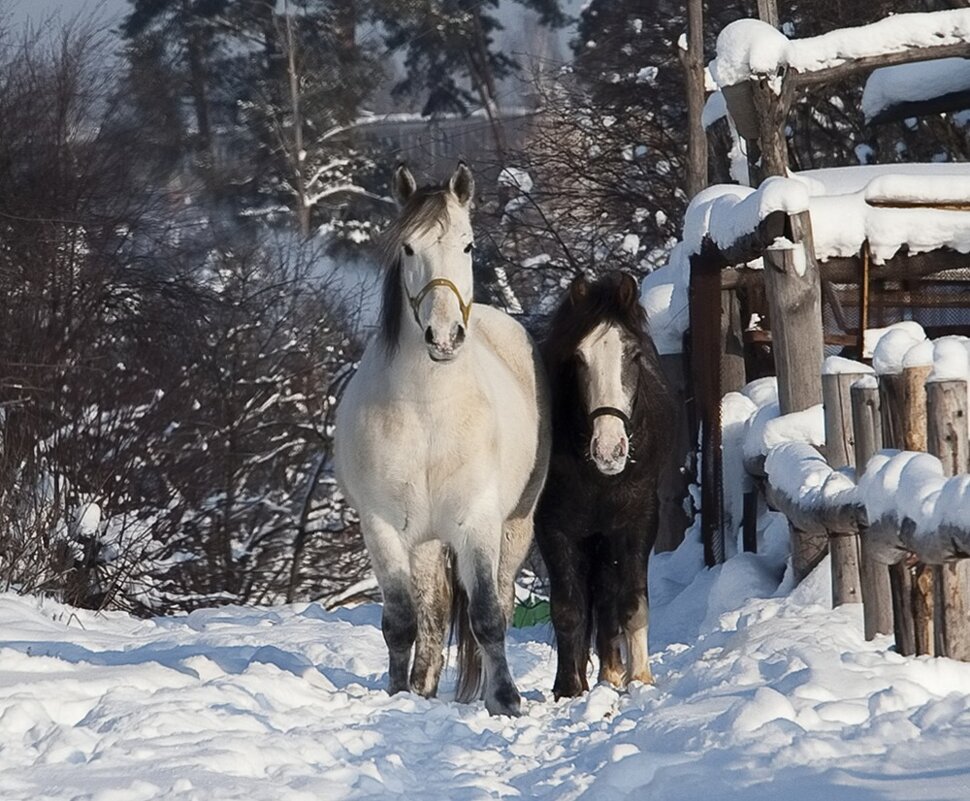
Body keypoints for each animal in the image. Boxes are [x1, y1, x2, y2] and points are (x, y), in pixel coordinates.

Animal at [330, 161, 544, 712]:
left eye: (467, 246)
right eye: (408, 248)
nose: (444, 337)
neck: (429, 413)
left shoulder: (478, 522)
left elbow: (488, 616)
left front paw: (505, 701)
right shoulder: (383, 528)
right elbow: (402, 622)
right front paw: (399, 692)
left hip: (514, 527)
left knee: (500, 602)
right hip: (424, 542)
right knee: (430, 616)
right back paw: (424, 684)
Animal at [536, 268, 672, 692]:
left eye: (634, 355)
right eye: (579, 359)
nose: (609, 450)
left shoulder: (637, 522)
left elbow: (632, 602)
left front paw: (640, 678)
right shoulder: (553, 527)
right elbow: (567, 608)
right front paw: (568, 688)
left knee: (610, 598)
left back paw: (613, 673)